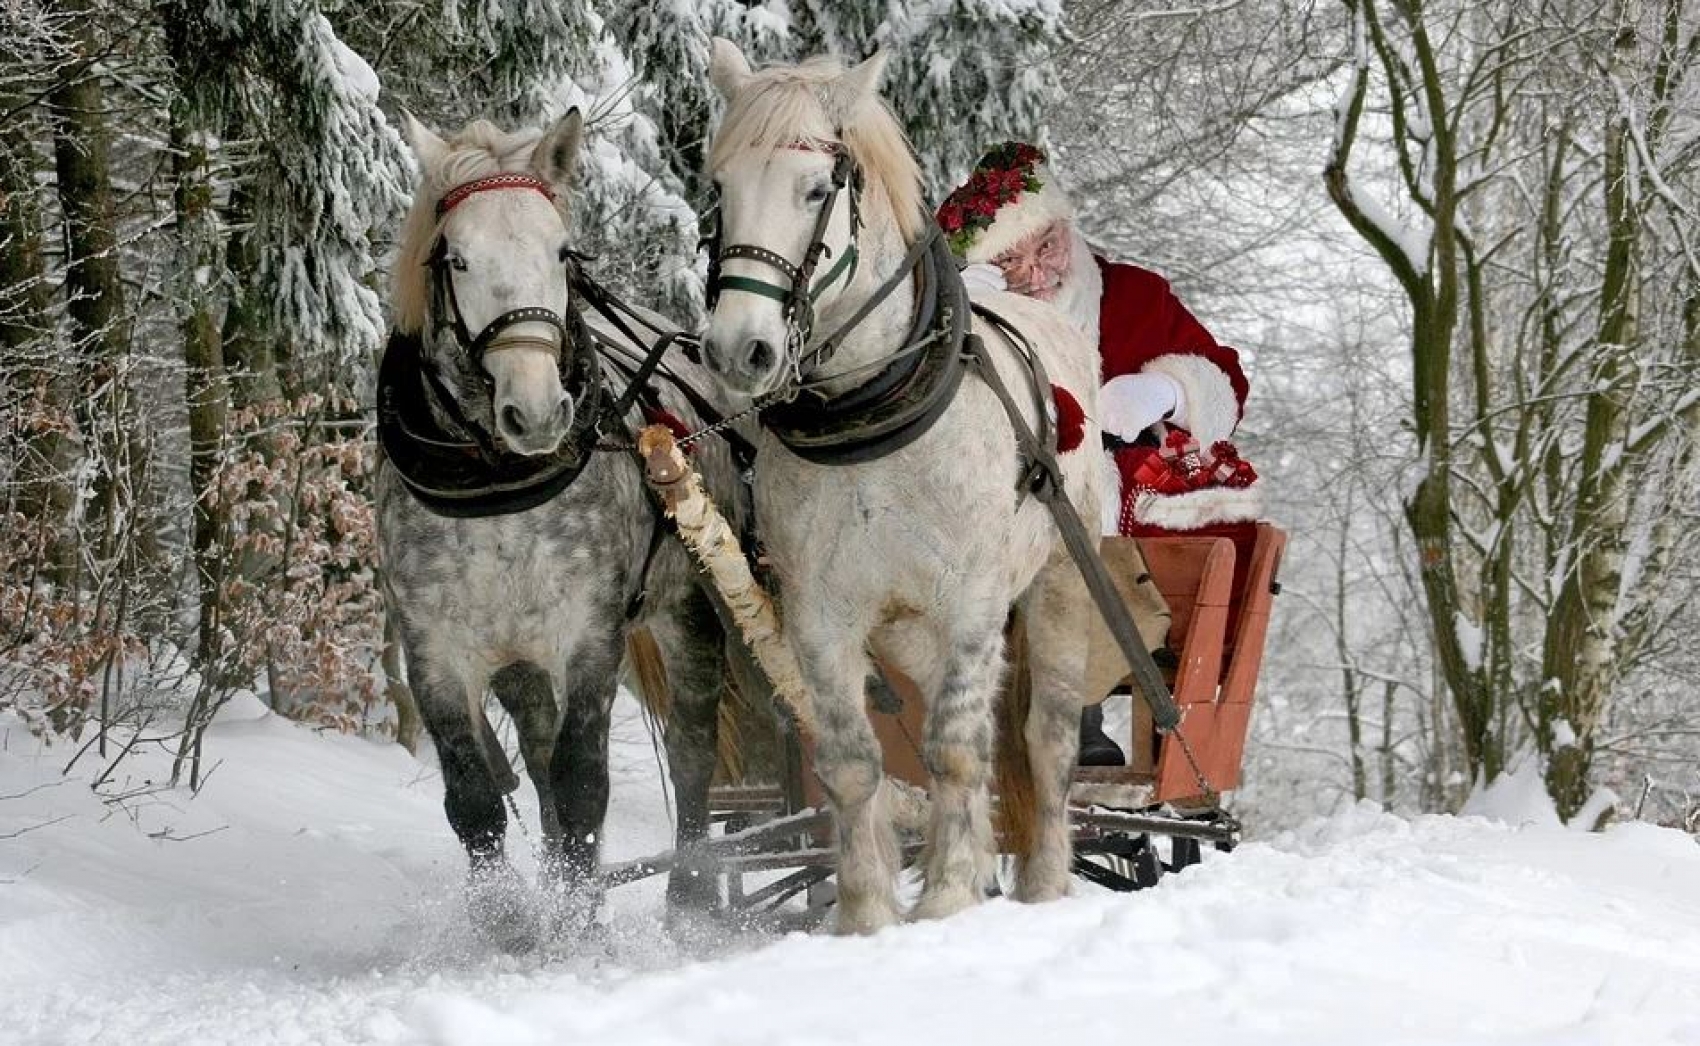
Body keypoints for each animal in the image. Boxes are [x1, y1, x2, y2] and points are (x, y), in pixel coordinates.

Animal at [700, 40, 1108, 932]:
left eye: (818, 188)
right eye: (719, 188)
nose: (738, 350)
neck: (872, 414)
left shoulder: (973, 602)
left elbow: (955, 749)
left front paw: (949, 897)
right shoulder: (820, 615)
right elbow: (854, 761)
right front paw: (866, 914)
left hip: (1062, 585)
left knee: (1046, 737)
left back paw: (1043, 883)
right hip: (910, 632)